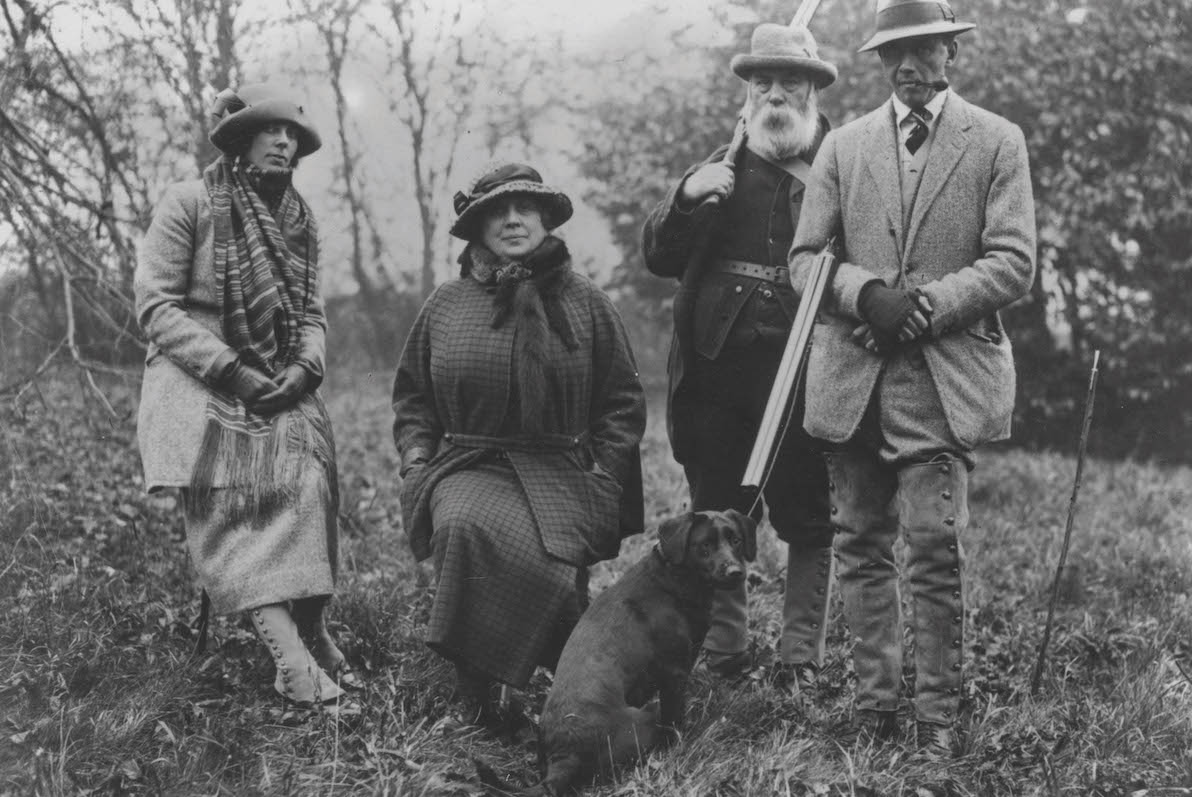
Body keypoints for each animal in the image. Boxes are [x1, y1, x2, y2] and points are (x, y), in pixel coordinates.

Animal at [538, 509, 758, 791]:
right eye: (705, 546)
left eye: (736, 540)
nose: (735, 572)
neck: (675, 577)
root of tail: (564, 757)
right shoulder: (675, 674)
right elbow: (675, 718)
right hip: (645, 720)